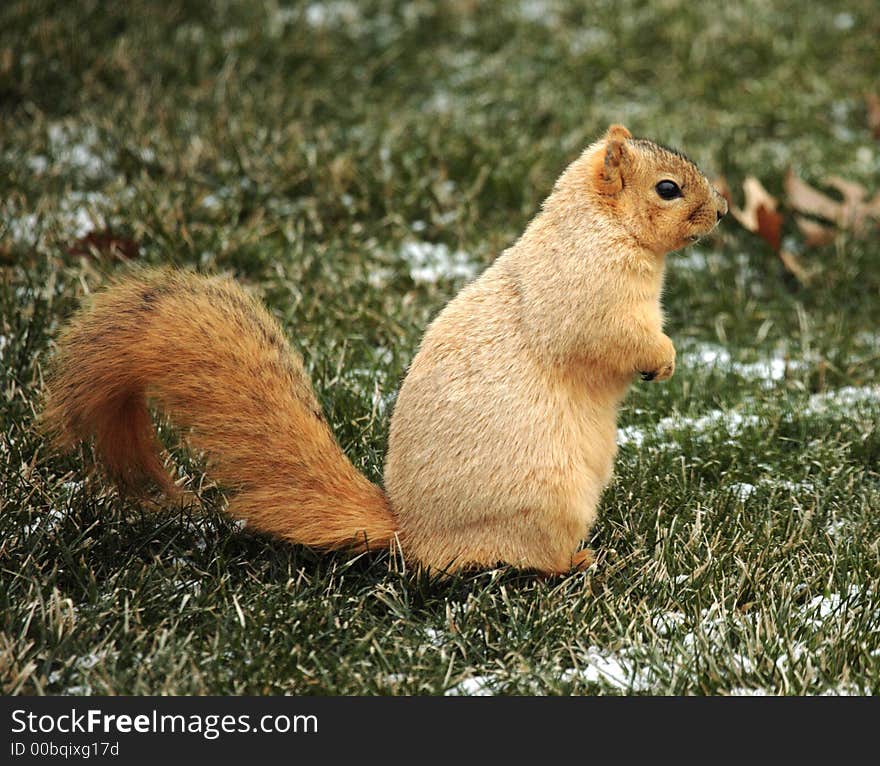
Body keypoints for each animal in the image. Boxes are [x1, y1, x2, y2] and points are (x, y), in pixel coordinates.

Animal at [43, 126, 728, 580]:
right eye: (668, 188)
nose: (721, 210)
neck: (598, 225)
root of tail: (411, 535)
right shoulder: (590, 291)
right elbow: (610, 337)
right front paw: (663, 358)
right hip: (544, 506)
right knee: (521, 561)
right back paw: (578, 561)